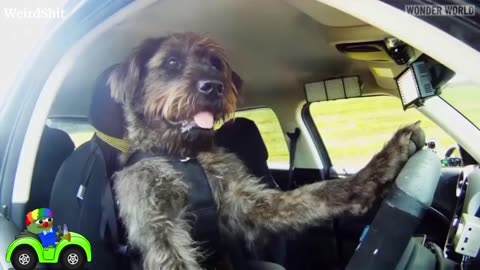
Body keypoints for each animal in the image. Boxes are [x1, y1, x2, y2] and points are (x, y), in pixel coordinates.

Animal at [109, 32, 424, 268]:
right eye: (172, 61)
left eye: (215, 64)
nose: (214, 86)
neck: (184, 154)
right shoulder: (159, 225)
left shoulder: (245, 202)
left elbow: (315, 195)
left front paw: (382, 165)